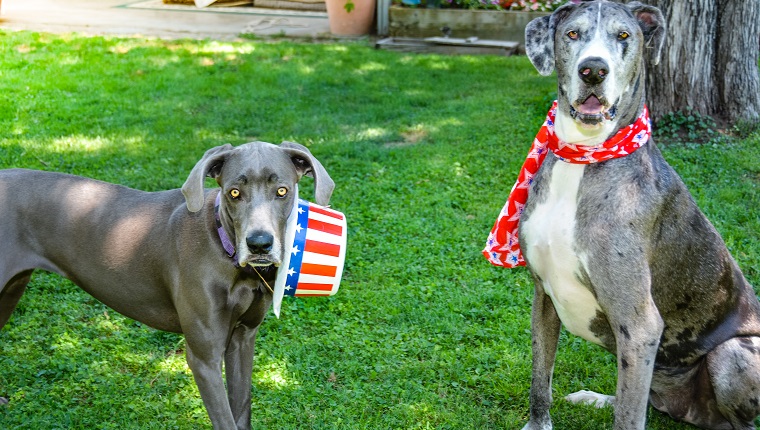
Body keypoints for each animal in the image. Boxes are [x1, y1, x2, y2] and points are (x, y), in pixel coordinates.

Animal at [0, 142, 334, 430]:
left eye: (282, 191)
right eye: (234, 192)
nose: (259, 244)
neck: (225, 252)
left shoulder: (243, 339)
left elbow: (241, 410)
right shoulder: (204, 357)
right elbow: (225, 419)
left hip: (11, 290)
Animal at [486, 0, 760, 430]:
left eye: (624, 36)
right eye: (573, 33)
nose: (593, 70)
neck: (582, 155)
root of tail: (691, 412)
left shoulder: (639, 323)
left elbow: (628, 419)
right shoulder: (543, 297)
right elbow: (540, 380)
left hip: (731, 353)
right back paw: (597, 398)